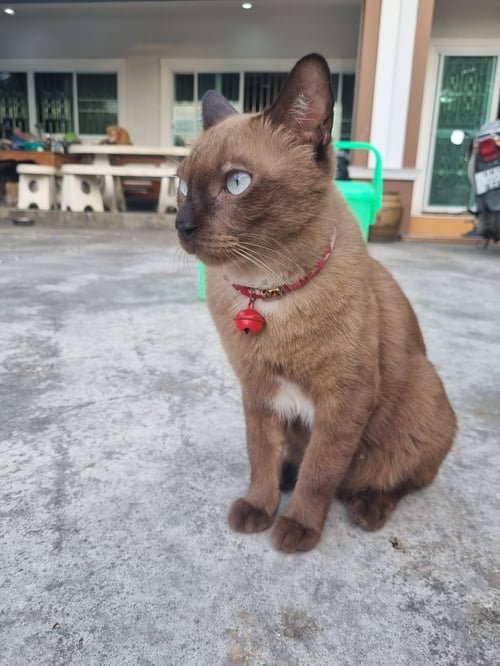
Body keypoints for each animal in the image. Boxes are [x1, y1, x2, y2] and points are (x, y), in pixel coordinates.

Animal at [175, 53, 456, 553]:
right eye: (183, 188)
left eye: (237, 182)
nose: (181, 225)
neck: (267, 292)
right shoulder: (259, 394)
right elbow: (261, 457)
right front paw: (260, 507)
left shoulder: (344, 402)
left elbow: (321, 473)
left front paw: (297, 527)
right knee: (296, 461)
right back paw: (288, 478)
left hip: (423, 394)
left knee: (396, 479)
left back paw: (367, 507)